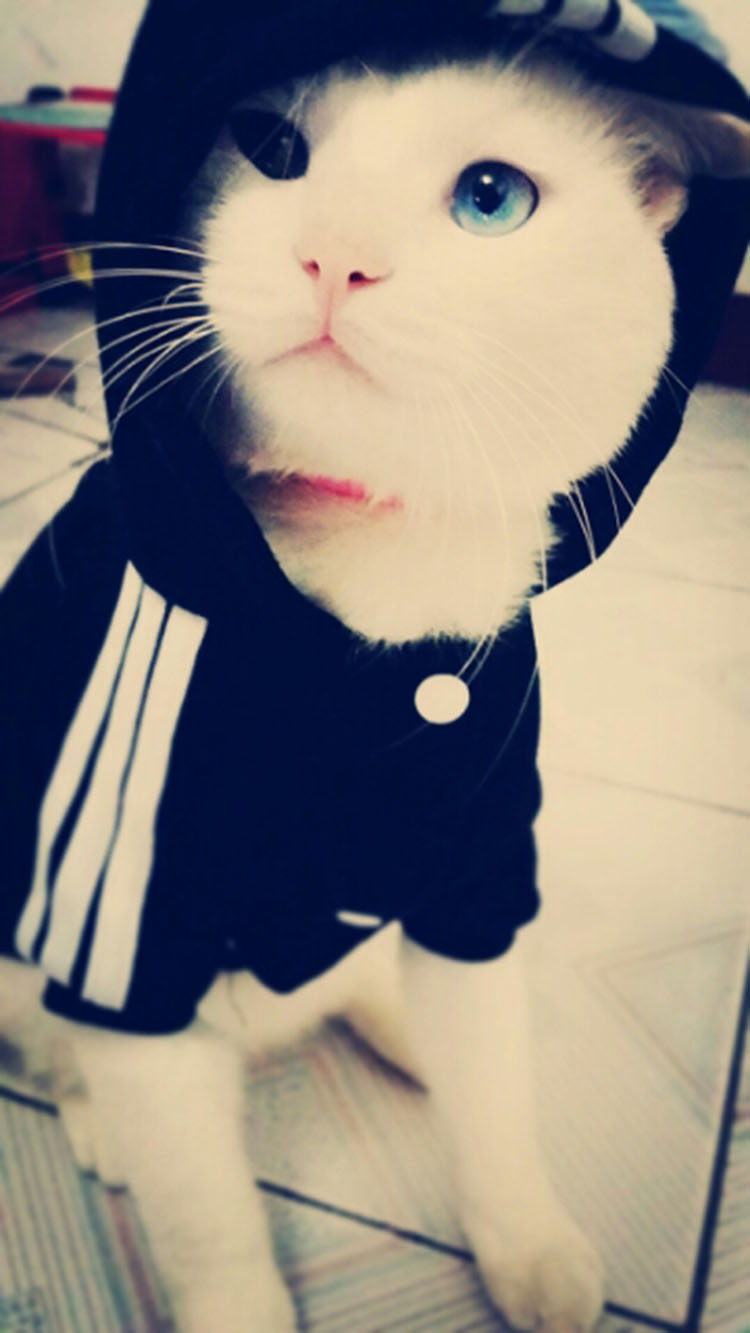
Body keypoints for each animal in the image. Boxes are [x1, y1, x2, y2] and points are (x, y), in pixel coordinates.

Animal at [2, 40, 748, 1333]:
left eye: (491, 197)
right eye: (270, 145)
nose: (336, 254)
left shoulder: (481, 865)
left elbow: (494, 1103)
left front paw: (526, 1243)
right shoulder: (127, 931)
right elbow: (207, 1221)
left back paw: (410, 1030)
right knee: (64, 1050)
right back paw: (100, 1121)